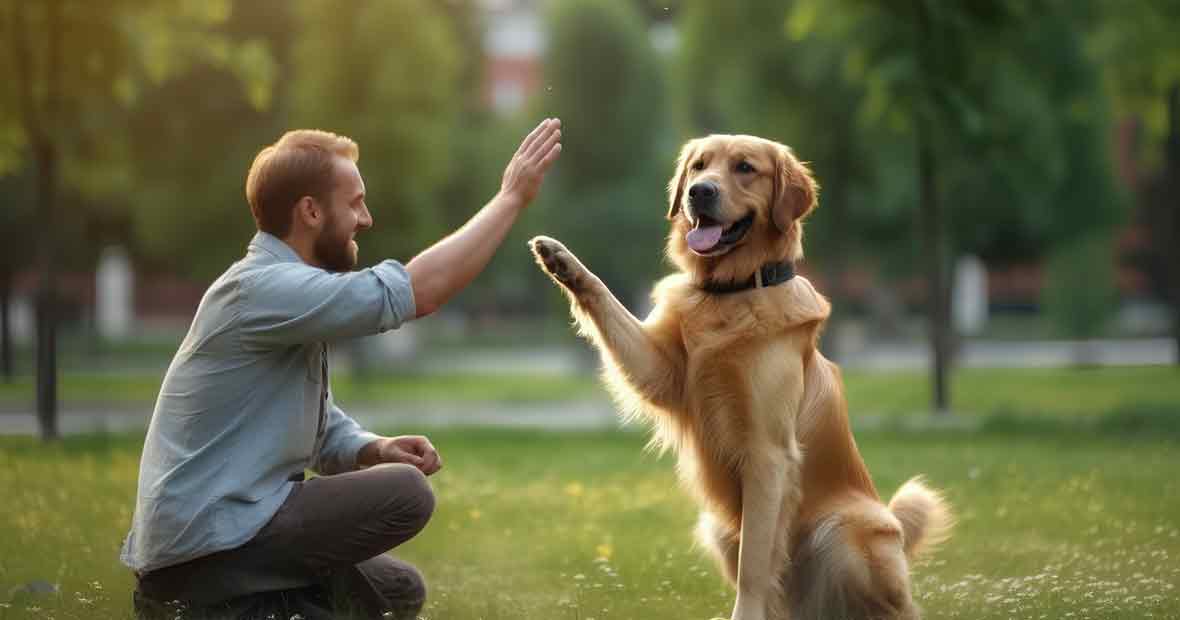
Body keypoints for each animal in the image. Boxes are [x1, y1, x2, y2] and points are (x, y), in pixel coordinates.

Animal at [531, 135, 953, 618]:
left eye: (745, 168)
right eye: (698, 166)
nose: (699, 192)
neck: (731, 293)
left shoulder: (768, 454)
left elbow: (755, 563)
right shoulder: (661, 369)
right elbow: (604, 297)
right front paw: (561, 260)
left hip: (847, 529)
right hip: (716, 524)